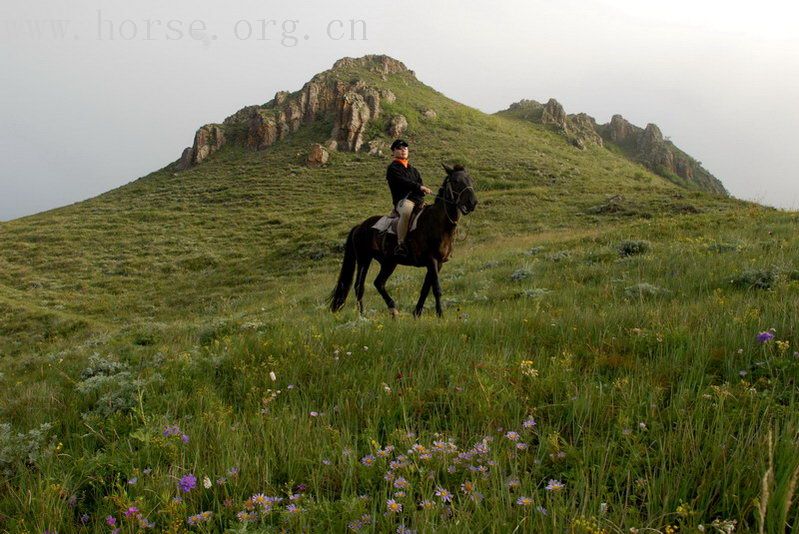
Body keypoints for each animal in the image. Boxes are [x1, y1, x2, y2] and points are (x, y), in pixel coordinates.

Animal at [328, 163, 478, 318]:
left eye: (470, 179)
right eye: (455, 181)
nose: (472, 203)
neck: (437, 222)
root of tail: (359, 226)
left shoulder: (439, 263)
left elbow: (426, 288)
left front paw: (417, 313)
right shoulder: (432, 260)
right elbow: (436, 288)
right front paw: (440, 314)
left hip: (389, 262)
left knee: (379, 283)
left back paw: (393, 310)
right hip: (364, 259)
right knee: (359, 286)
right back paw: (362, 315)